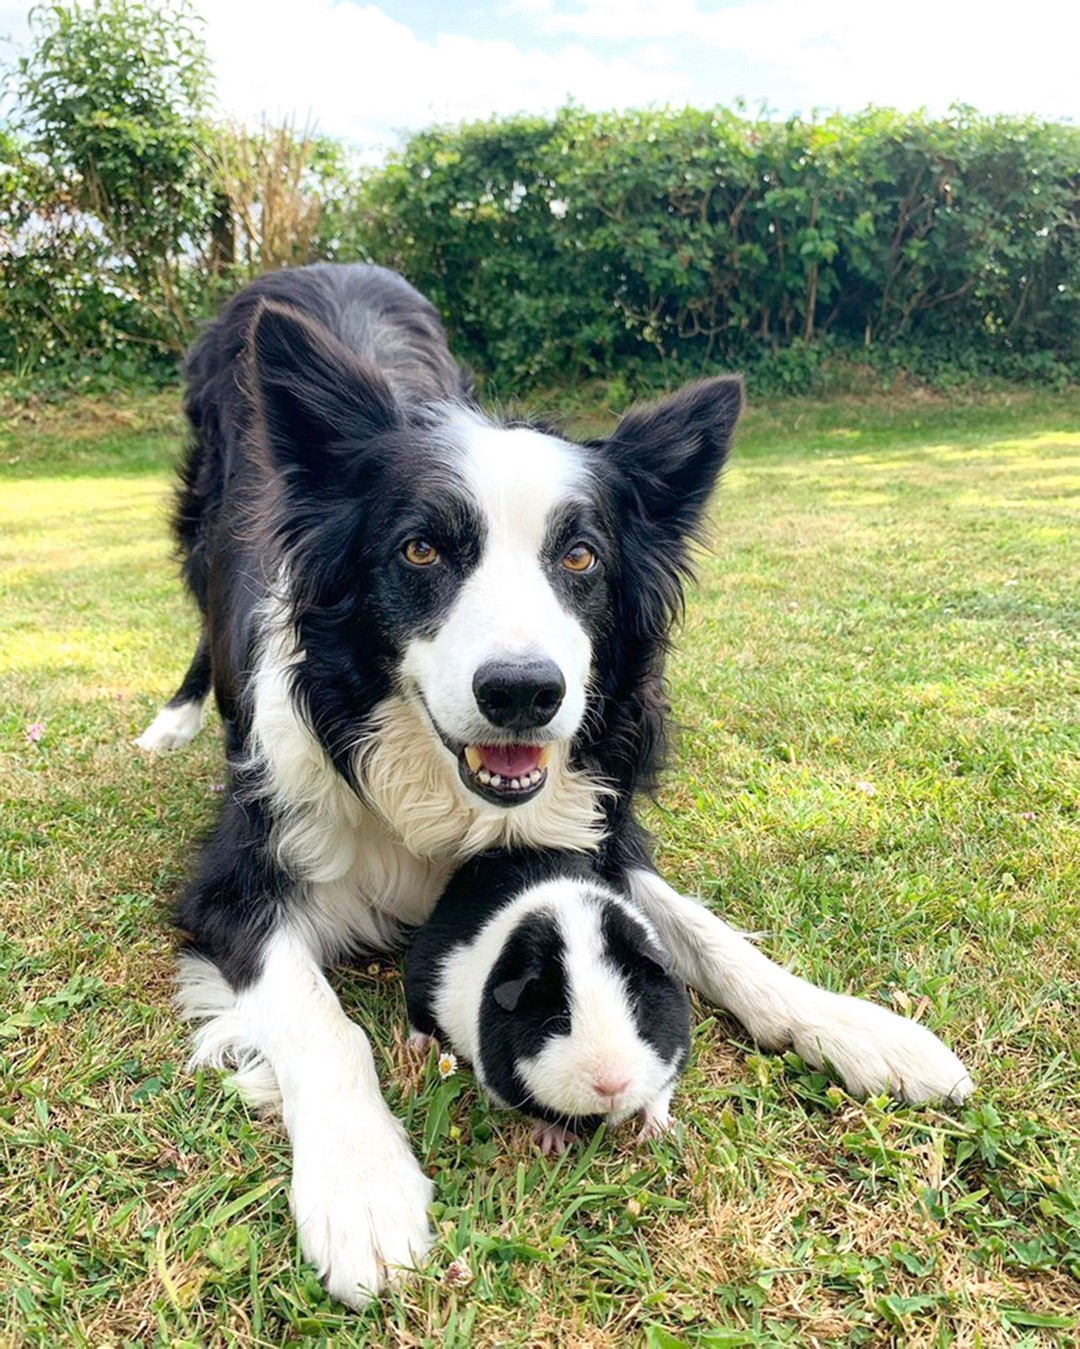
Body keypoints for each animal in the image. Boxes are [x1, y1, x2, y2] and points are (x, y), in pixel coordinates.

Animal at [138, 263, 970, 1305]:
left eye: (581, 557)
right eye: (420, 550)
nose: (524, 693)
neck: (437, 789)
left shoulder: (587, 828)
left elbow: (711, 937)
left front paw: (862, 1029)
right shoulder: (234, 879)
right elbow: (325, 1023)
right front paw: (363, 1186)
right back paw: (173, 723)